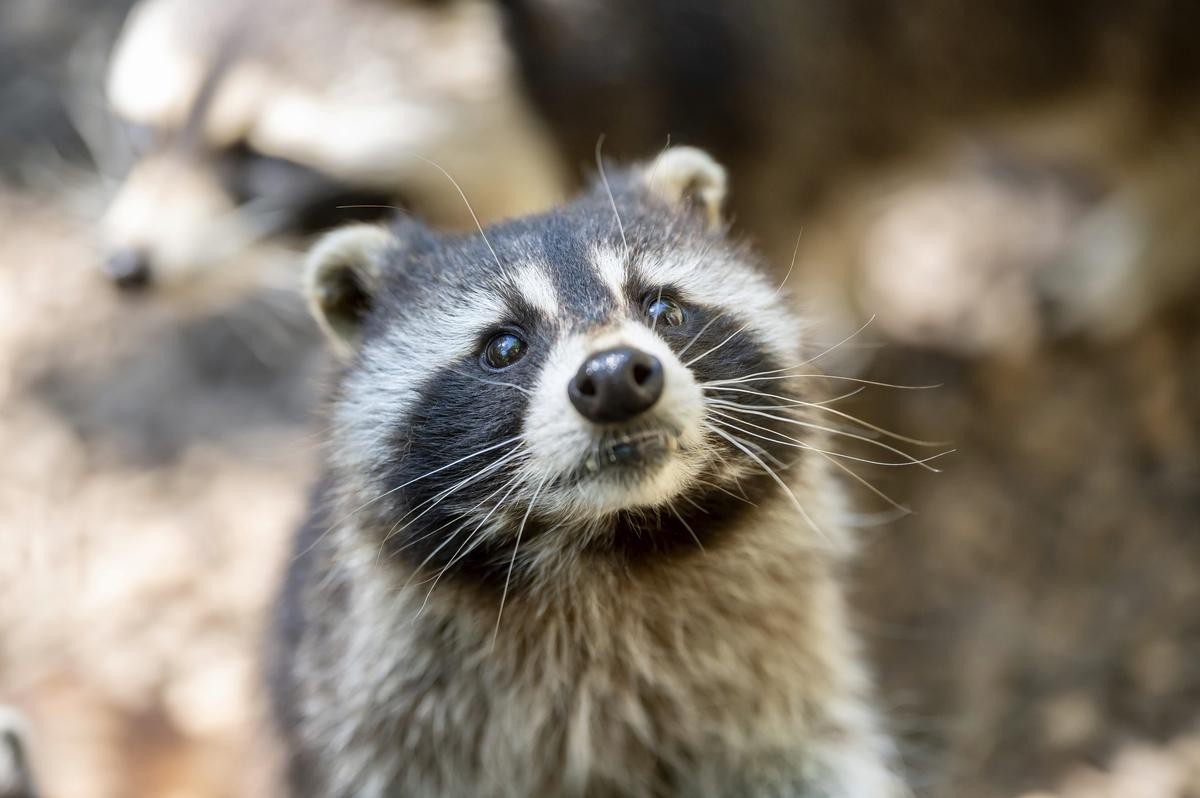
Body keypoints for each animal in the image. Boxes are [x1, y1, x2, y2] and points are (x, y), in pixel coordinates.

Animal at [272, 146, 902, 792]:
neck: (608, 549)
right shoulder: (377, 710)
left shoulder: (782, 675)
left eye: (664, 308)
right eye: (504, 347)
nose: (616, 376)